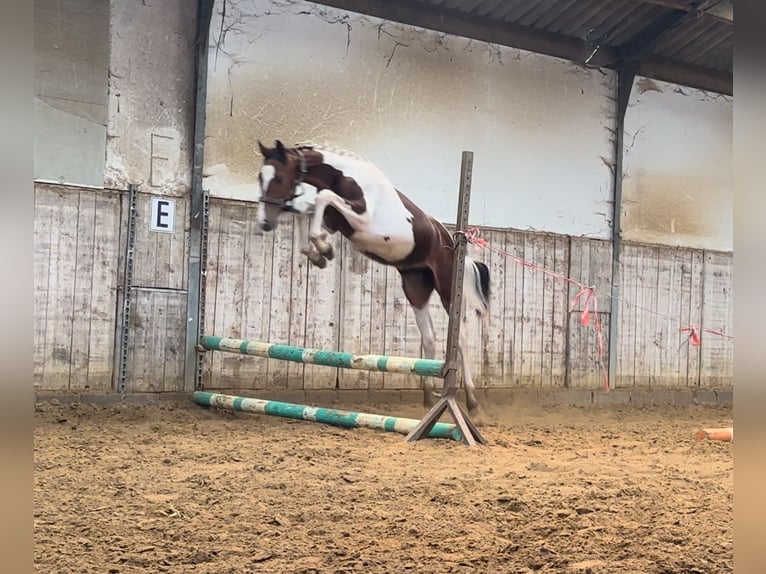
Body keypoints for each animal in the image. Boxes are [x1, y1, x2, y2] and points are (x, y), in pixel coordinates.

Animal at [258, 141, 492, 416]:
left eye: (279, 178)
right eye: (260, 177)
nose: (265, 222)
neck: (344, 176)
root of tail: (453, 240)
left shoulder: (360, 218)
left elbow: (321, 198)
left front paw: (323, 249)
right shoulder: (335, 221)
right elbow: (307, 213)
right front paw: (320, 253)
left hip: (446, 288)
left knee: (461, 338)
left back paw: (473, 402)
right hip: (415, 287)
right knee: (429, 338)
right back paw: (427, 398)